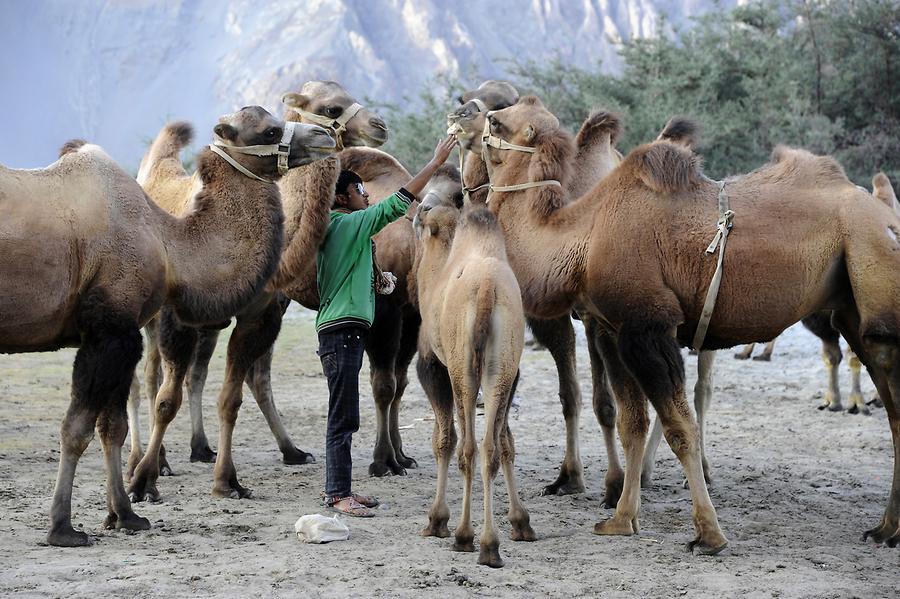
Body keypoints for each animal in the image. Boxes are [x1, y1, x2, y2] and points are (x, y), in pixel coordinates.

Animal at [0, 105, 334, 548]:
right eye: (269, 129)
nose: (325, 135)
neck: (168, 240)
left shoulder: (121, 334)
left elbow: (112, 427)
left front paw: (124, 515)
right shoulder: (109, 331)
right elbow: (76, 429)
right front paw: (63, 527)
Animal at [128, 83, 388, 496]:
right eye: (331, 107)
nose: (379, 125)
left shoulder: (259, 313)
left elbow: (232, 397)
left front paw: (228, 480)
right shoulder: (176, 319)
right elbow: (166, 400)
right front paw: (142, 482)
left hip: (207, 326)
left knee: (195, 376)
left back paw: (203, 449)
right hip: (149, 318)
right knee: (147, 382)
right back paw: (150, 462)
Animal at [414, 198, 536, 572]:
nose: (417, 210)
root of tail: (485, 292)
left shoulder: (432, 365)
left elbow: (443, 440)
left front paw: (436, 520)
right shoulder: (514, 374)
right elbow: (507, 440)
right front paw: (521, 522)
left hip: (462, 367)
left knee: (467, 446)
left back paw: (466, 537)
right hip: (502, 363)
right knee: (490, 447)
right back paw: (490, 544)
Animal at [478, 95, 900, 552]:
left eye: (496, 121)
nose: (465, 114)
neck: (582, 239)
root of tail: (885, 214)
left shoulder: (649, 327)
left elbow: (681, 428)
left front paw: (708, 532)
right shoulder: (613, 330)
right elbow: (632, 425)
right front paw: (621, 519)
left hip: (874, 279)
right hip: (855, 316)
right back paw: (885, 529)